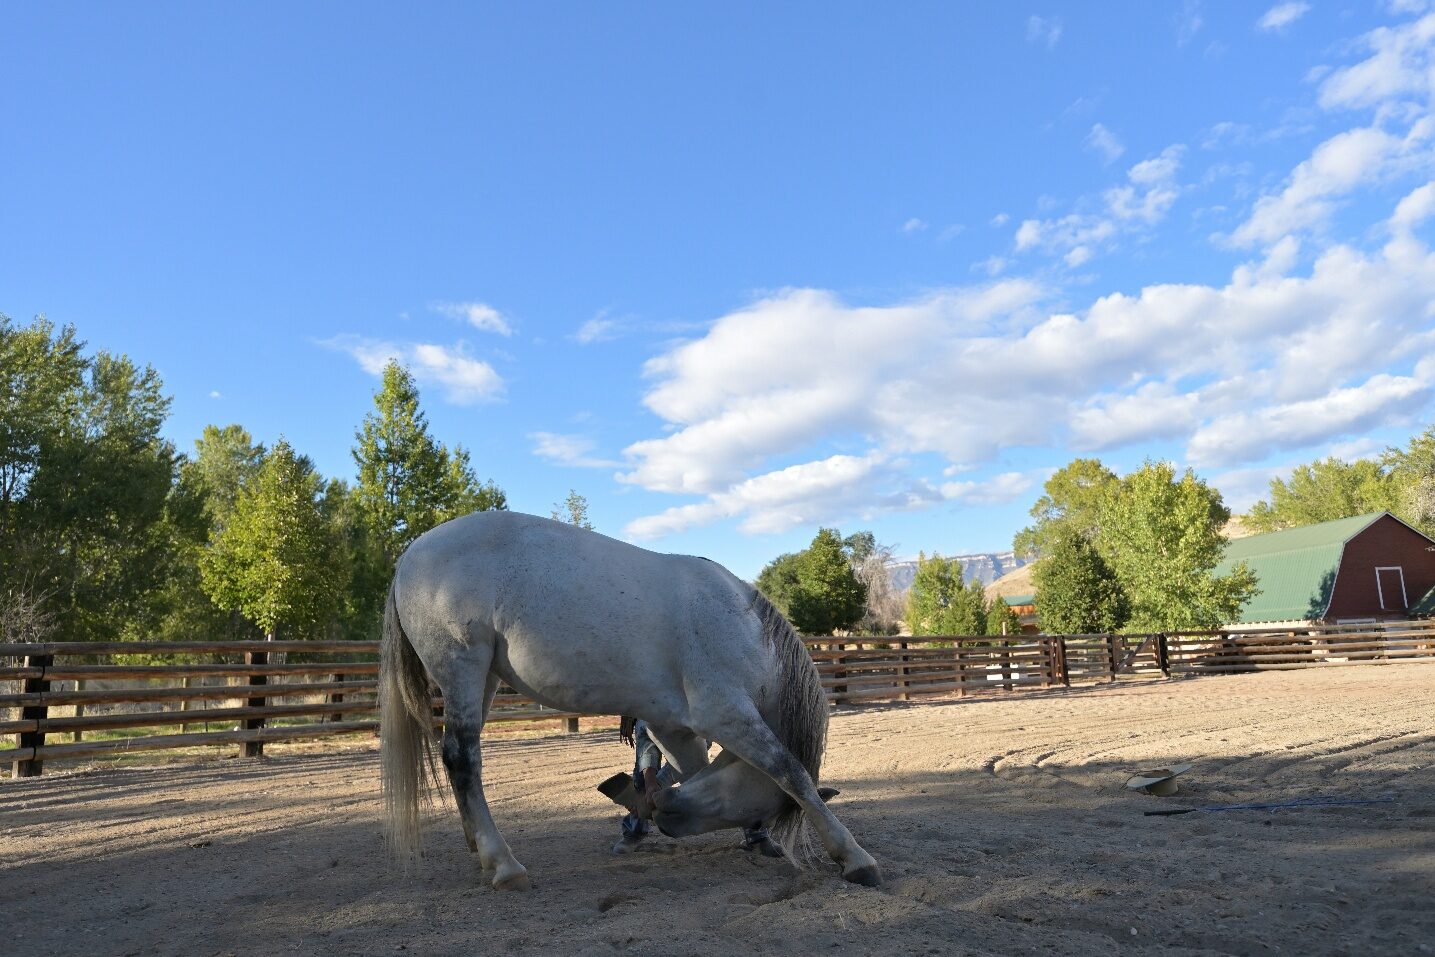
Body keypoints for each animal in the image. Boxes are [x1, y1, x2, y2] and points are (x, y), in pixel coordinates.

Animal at [380, 510, 881, 891]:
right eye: (760, 810)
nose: (669, 819)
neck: (743, 630)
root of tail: (408, 557)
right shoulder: (727, 715)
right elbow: (791, 773)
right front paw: (853, 856)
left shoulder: (673, 727)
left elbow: (691, 770)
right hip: (463, 669)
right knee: (462, 758)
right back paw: (503, 864)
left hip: (482, 680)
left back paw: (479, 847)